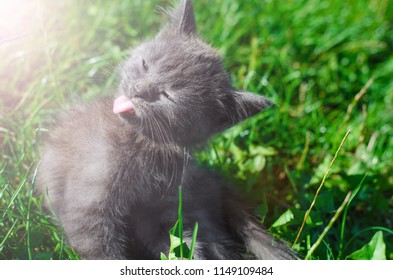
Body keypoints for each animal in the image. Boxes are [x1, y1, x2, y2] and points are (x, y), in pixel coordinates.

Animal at [36, 0, 296, 260]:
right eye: (145, 65)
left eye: (167, 95)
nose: (137, 89)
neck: (143, 145)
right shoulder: (88, 206)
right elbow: (101, 250)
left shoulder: (163, 209)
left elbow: (179, 242)